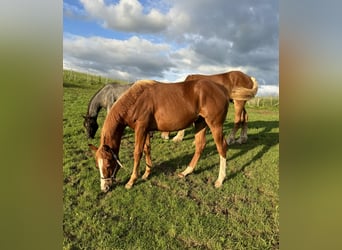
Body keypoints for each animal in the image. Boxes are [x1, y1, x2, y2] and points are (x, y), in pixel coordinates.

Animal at [88, 79, 232, 192]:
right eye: (97, 166)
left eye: (108, 164)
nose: (104, 188)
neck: (136, 100)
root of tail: (222, 90)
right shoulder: (146, 130)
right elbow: (147, 149)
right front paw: (146, 174)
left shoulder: (140, 129)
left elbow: (137, 153)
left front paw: (131, 181)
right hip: (200, 123)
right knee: (200, 146)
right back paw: (186, 172)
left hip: (215, 125)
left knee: (222, 147)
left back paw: (220, 180)